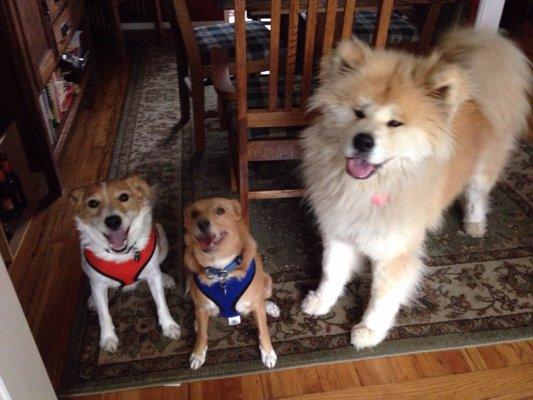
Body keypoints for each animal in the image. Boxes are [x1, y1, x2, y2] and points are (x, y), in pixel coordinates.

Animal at [70, 177, 181, 352]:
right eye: (93, 203)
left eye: (124, 197)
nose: (113, 221)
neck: (121, 254)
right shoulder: (98, 284)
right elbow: (103, 314)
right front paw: (108, 338)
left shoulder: (152, 275)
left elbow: (161, 302)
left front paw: (169, 325)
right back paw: (93, 299)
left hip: (162, 238)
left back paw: (165, 278)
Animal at [184, 197, 278, 368]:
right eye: (193, 214)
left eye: (220, 210)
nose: (201, 223)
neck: (221, 270)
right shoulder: (202, 305)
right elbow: (202, 335)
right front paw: (198, 353)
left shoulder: (257, 306)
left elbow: (263, 330)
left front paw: (268, 352)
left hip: (267, 282)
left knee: (263, 299)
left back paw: (269, 306)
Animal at [300, 30, 528, 350]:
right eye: (358, 113)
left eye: (395, 123)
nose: (363, 140)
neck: (368, 187)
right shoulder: (338, 231)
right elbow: (331, 272)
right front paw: (322, 301)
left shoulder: (395, 252)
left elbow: (381, 296)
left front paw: (369, 330)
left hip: (481, 171)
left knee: (477, 194)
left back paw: (474, 223)